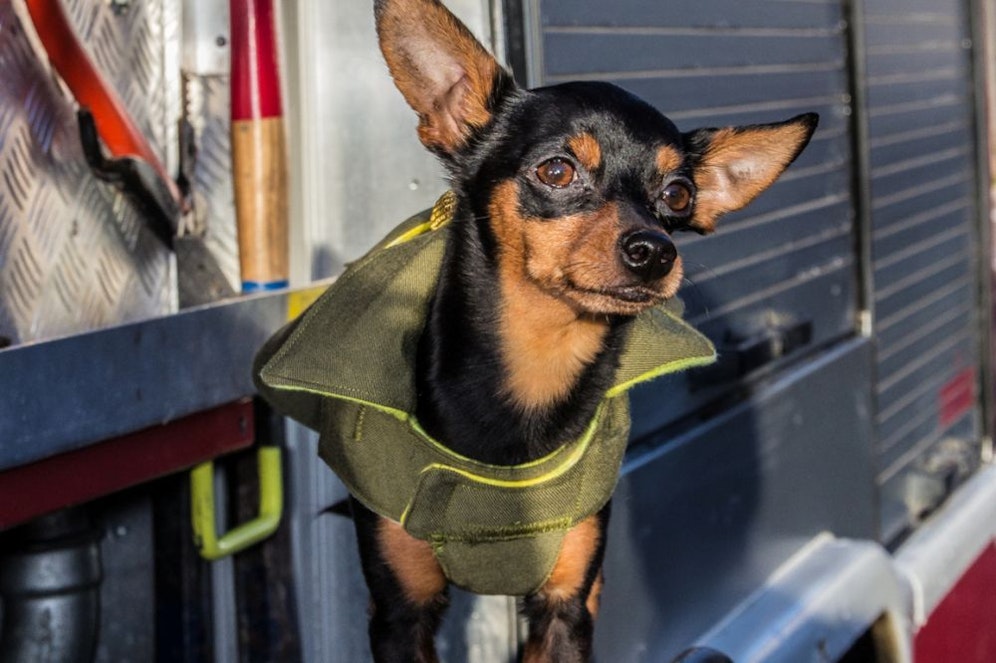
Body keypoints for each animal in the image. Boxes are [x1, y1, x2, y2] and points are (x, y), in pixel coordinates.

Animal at [255, 0, 817, 660]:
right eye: (556, 170)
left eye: (678, 195)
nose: (655, 251)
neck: (536, 365)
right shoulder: (401, 612)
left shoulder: (567, 602)